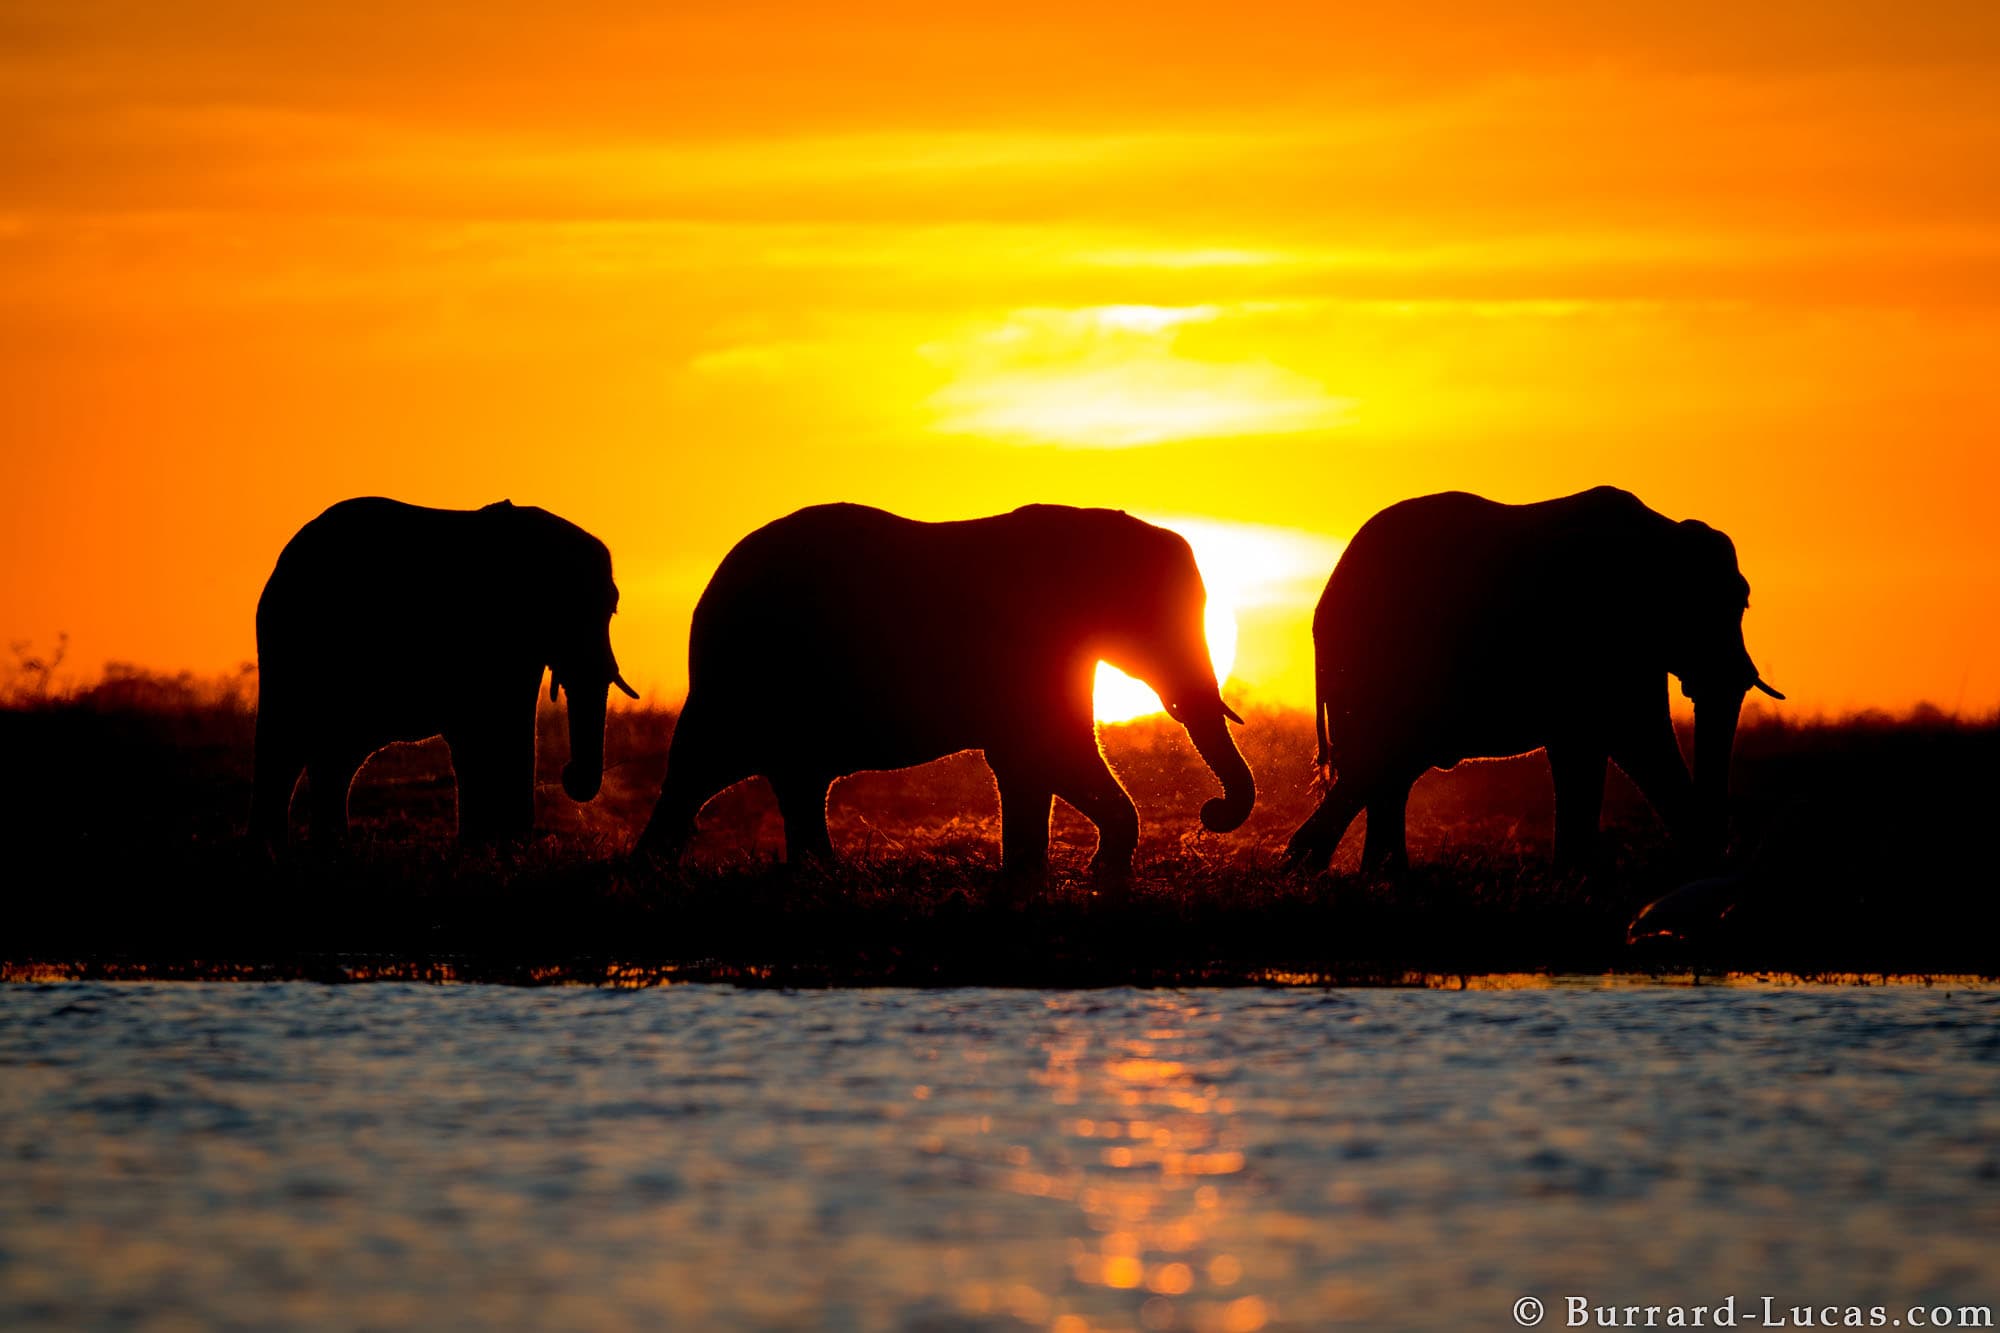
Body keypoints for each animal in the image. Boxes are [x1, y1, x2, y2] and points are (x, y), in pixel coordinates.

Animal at [252, 497, 637, 845]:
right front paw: (491, 847)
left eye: (611, 611)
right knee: (289, 744)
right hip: (295, 646)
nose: (568, 774)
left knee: (330, 754)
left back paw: (326, 847)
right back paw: (280, 849)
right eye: (566, 612)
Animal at [634, 503, 1256, 877]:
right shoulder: (1029, 642)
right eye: (1158, 619)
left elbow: (1034, 760)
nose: (1211, 812)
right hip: (743, 672)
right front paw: (1097, 873)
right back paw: (652, 871)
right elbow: (1047, 750)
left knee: (789, 780)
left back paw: (819, 877)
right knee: (700, 768)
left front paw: (1035, 880)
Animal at [1282, 486, 1782, 875]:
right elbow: (1638, 739)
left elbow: (1584, 749)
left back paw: (1365, 872)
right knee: (1381, 761)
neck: (1666, 535)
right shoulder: (1611, 640)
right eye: (1736, 604)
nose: (1724, 850)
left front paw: (1573, 875)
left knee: (1386, 770)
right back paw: (1311, 866)